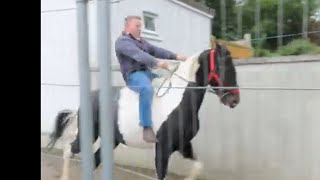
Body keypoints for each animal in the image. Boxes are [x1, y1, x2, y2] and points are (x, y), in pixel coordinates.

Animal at [45, 43, 240, 180]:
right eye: (223, 67)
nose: (234, 100)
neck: (177, 101)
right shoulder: (162, 148)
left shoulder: (184, 145)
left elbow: (199, 167)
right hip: (89, 135)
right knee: (68, 150)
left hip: (111, 140)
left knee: (94, 159)